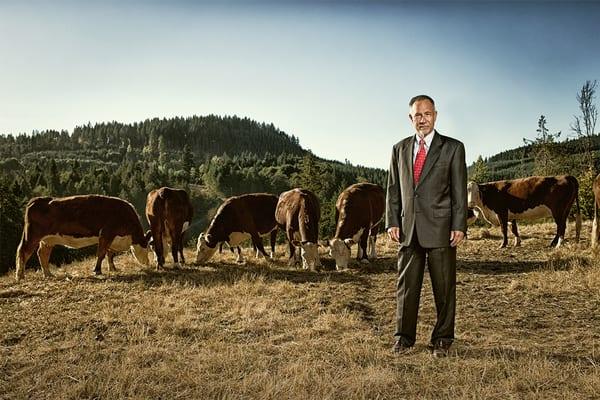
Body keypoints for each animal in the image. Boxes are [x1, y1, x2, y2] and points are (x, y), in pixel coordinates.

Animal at [14, 195, 150, 280]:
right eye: (148, 248)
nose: (148, 263)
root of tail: (36, 200)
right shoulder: (106, 233)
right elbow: (101, 253)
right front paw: (97, 270)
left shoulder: (112, 238)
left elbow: (109, 254)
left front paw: (113, 269)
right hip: (32, 235)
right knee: (23, 251)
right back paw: (20, 275)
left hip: (48, 239)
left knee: (42, 254)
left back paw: (48, 274)